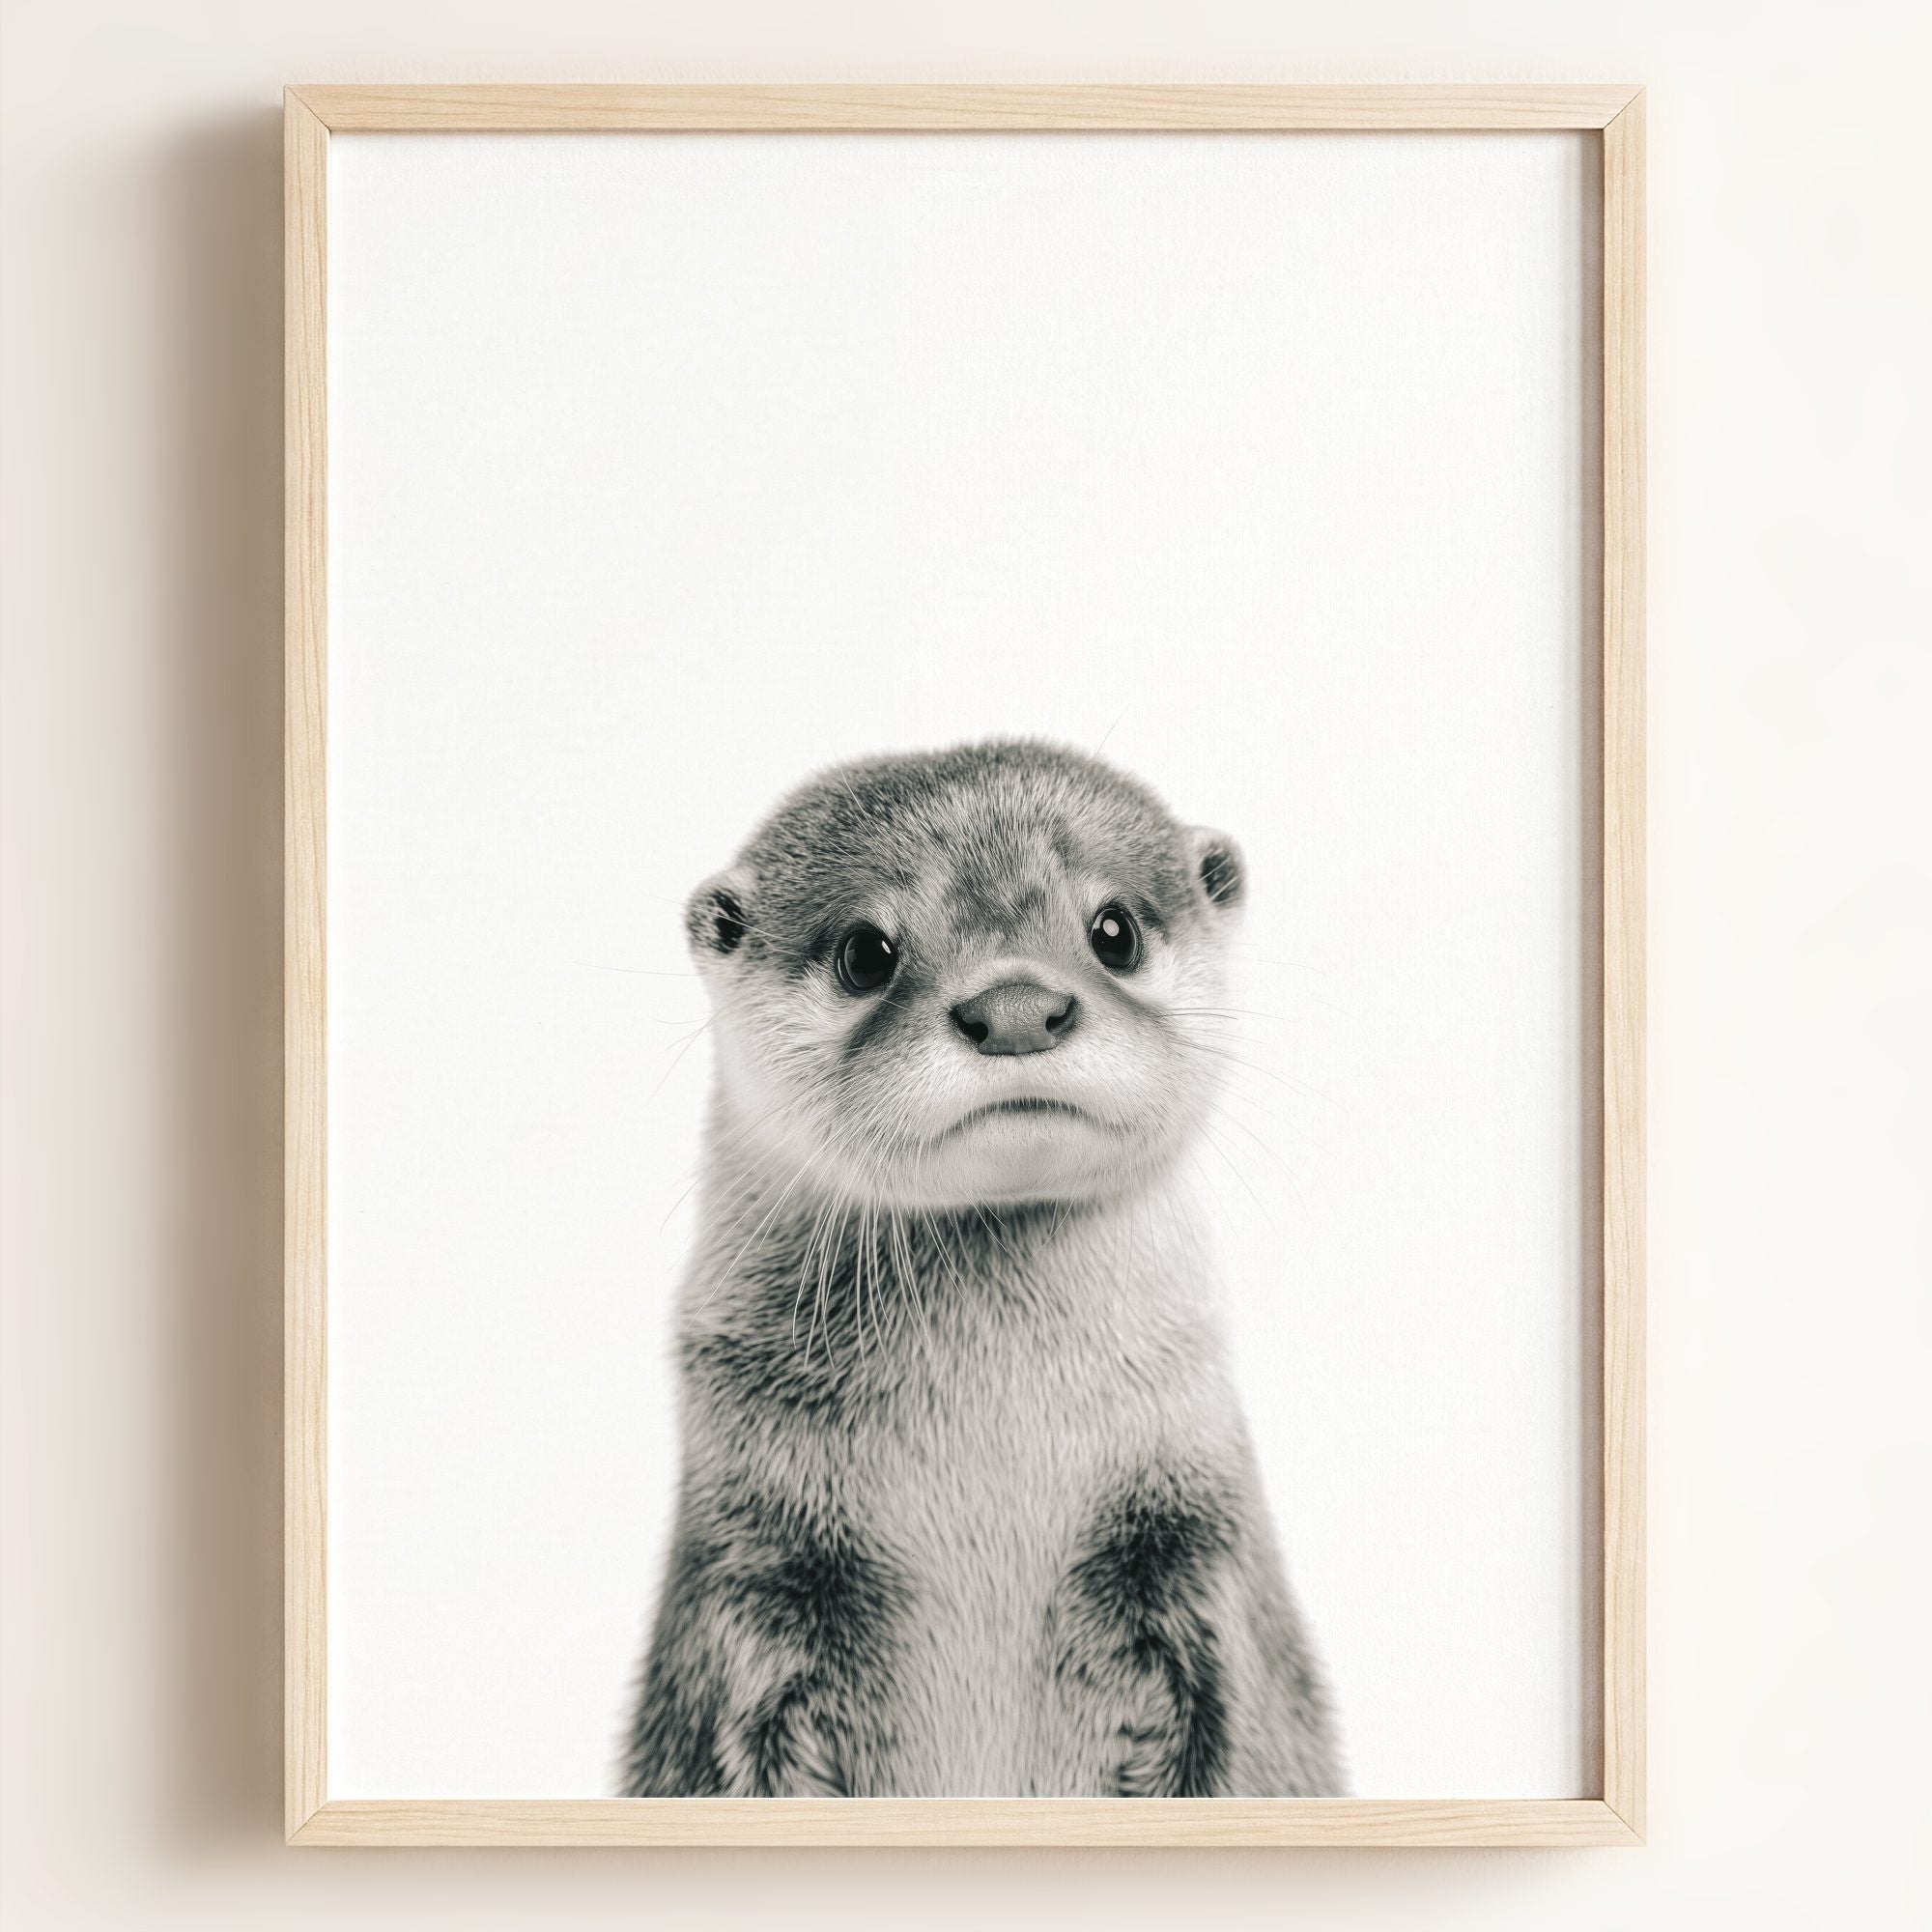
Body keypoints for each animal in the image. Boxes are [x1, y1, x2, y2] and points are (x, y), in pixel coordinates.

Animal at [623, 740, 1341, 1797]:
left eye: (1114, 929)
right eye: (865, 952)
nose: (1014, 1008)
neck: (994, 1442)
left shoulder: (1199, 1551)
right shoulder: (748, 1569)